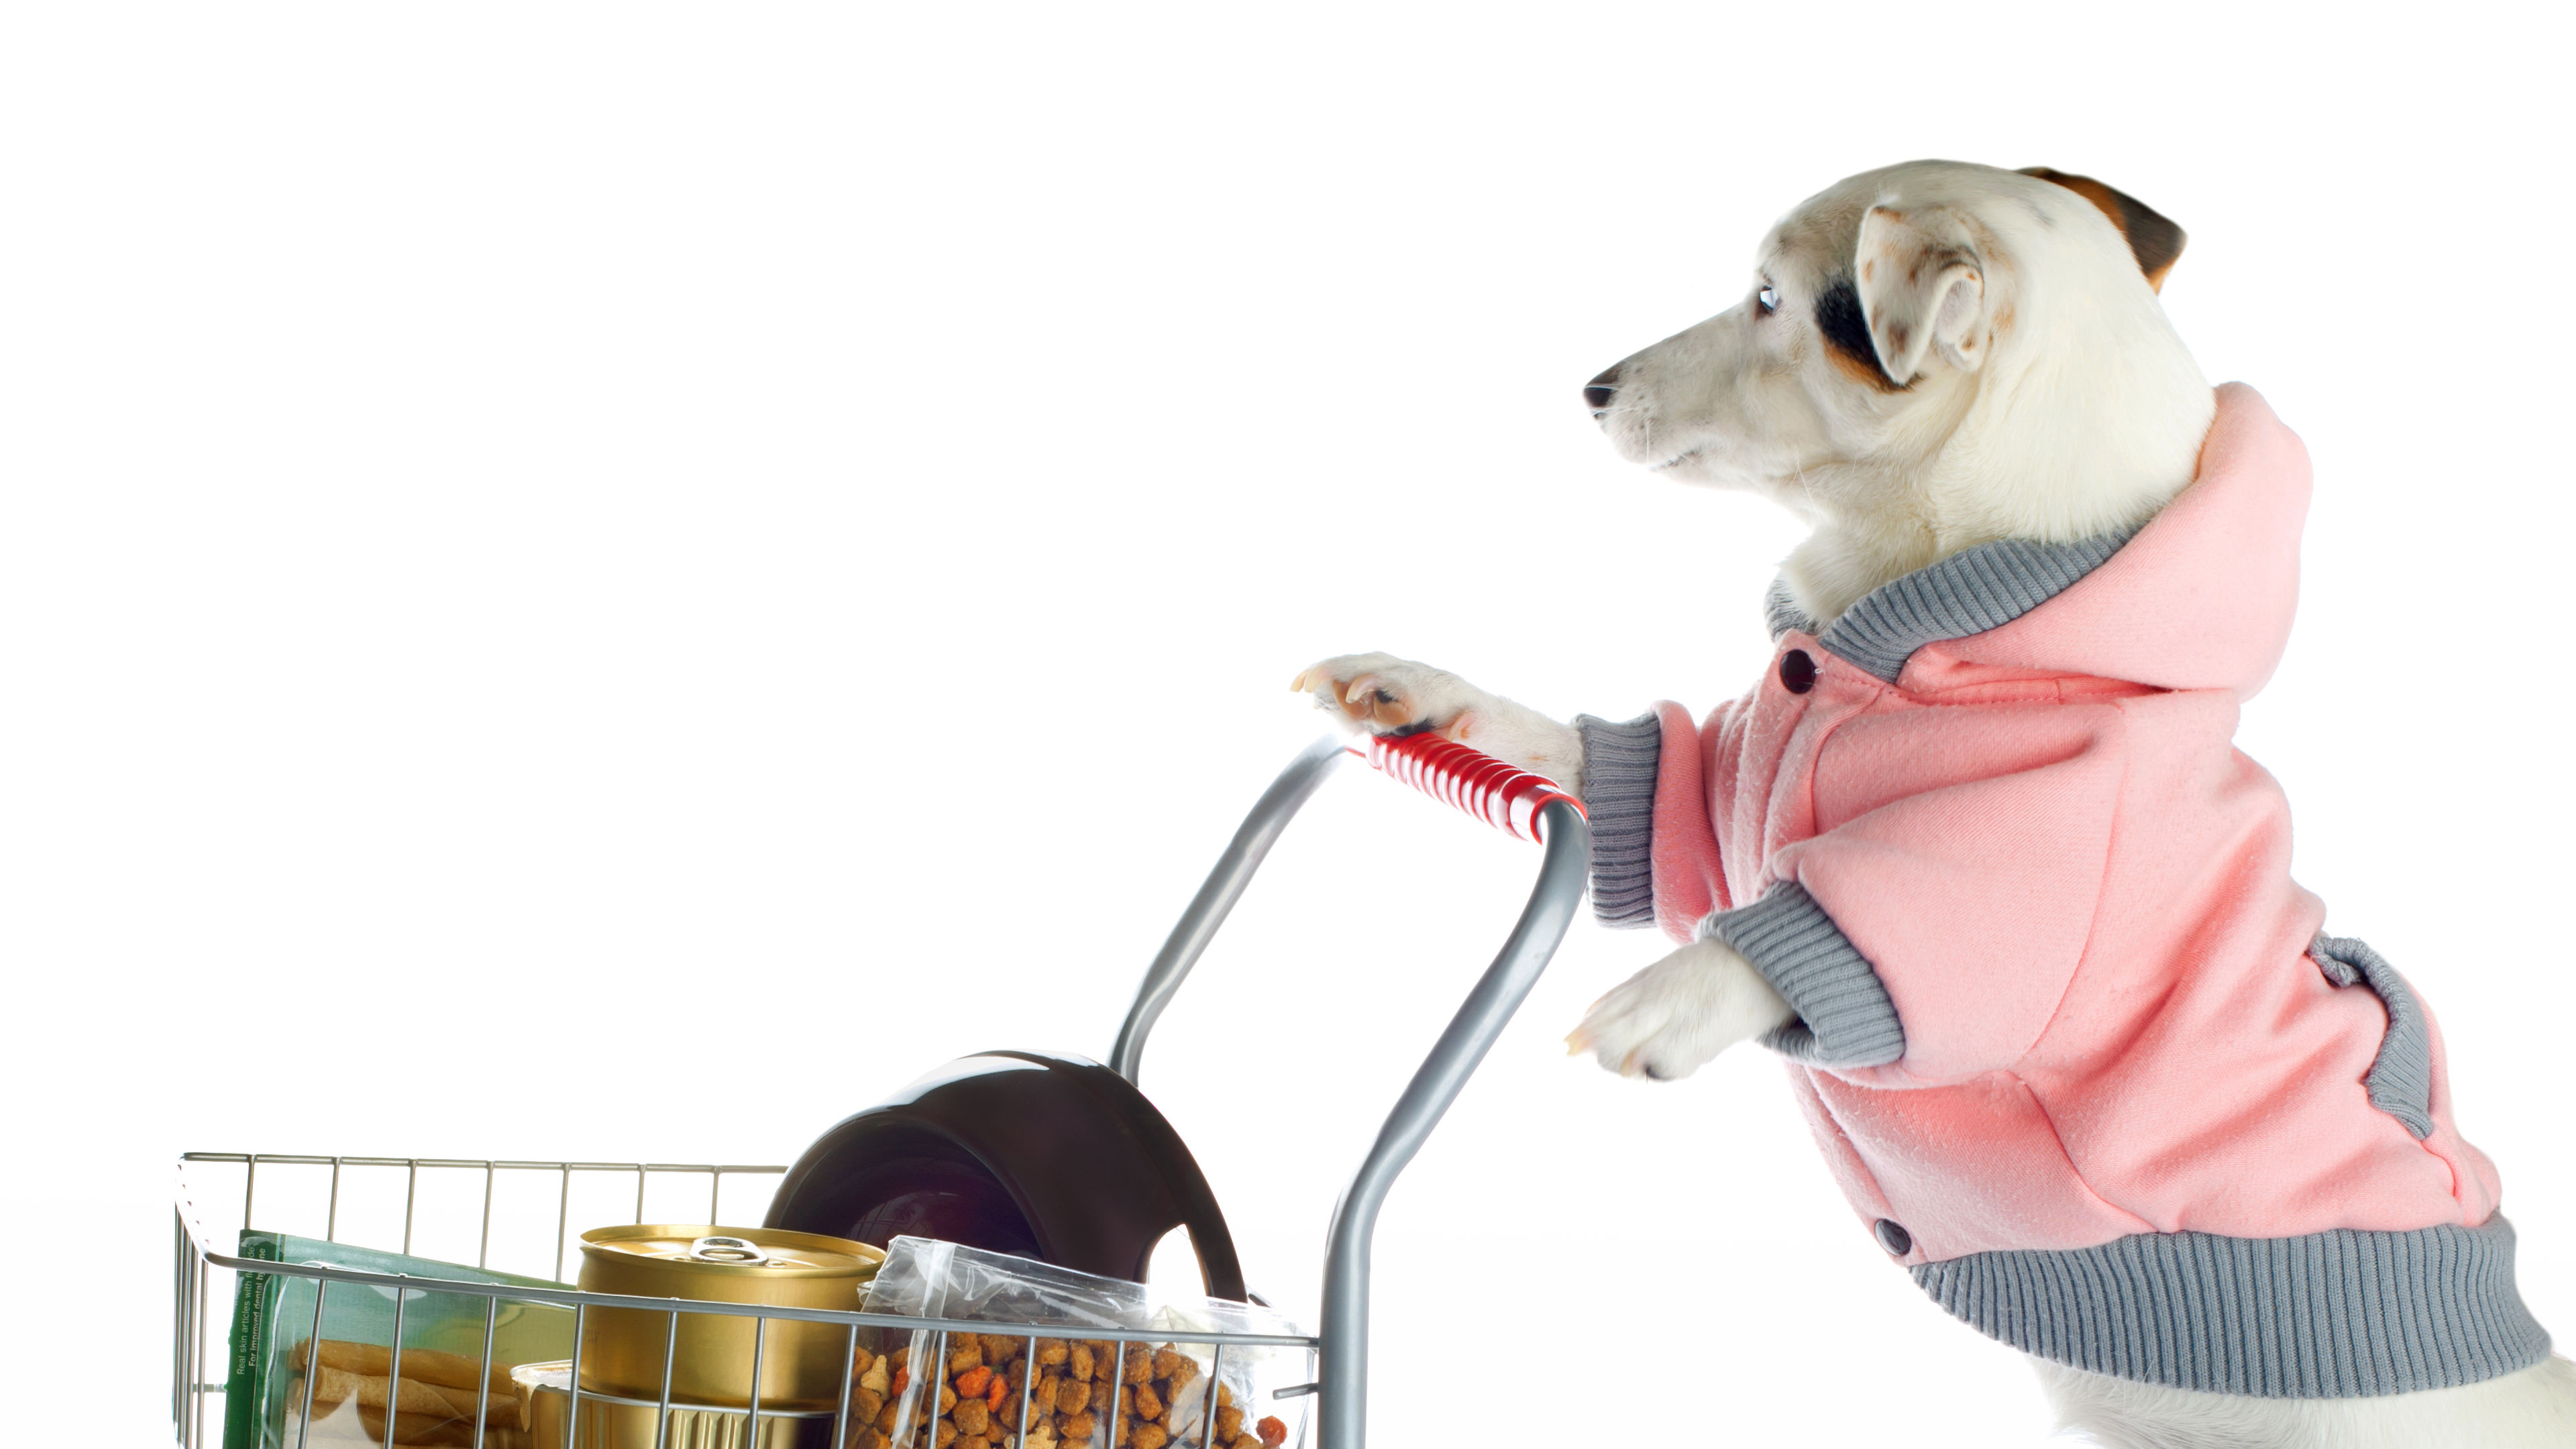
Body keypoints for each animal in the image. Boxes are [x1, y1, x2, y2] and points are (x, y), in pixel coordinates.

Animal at [1308, 160, 2576, 1444]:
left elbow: (1848, 921)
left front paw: (1676, 994)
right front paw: (1423, 693)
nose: (1594, 389)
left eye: (1769, 298)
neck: (1944, 619)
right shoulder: (1718, 801)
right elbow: (1606, 770)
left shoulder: (2018, 877)